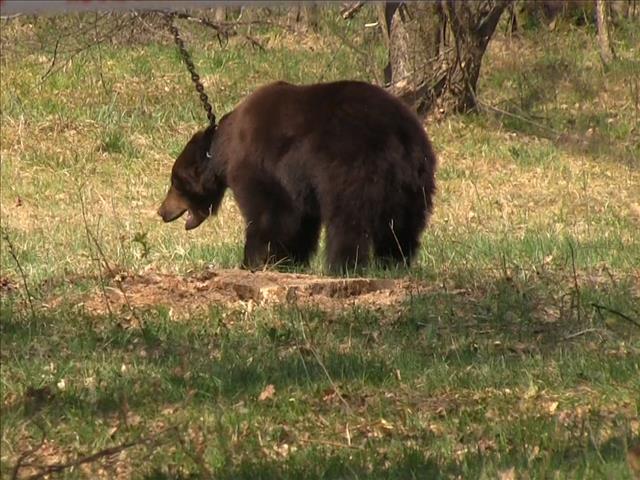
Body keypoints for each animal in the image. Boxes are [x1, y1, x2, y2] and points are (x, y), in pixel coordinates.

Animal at [158, 80, 437, 273]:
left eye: (174, 182)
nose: (161, 211)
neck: (223, 150)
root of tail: (399, 135)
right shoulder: (298, 182)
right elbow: (301, 221)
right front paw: (290, 260)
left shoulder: (258, 165)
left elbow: (269, 213)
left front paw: (252, 260)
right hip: (414, 182)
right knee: (403, 226)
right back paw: (394, 262)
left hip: (351, 170)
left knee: (348, 222)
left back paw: (343, 266)